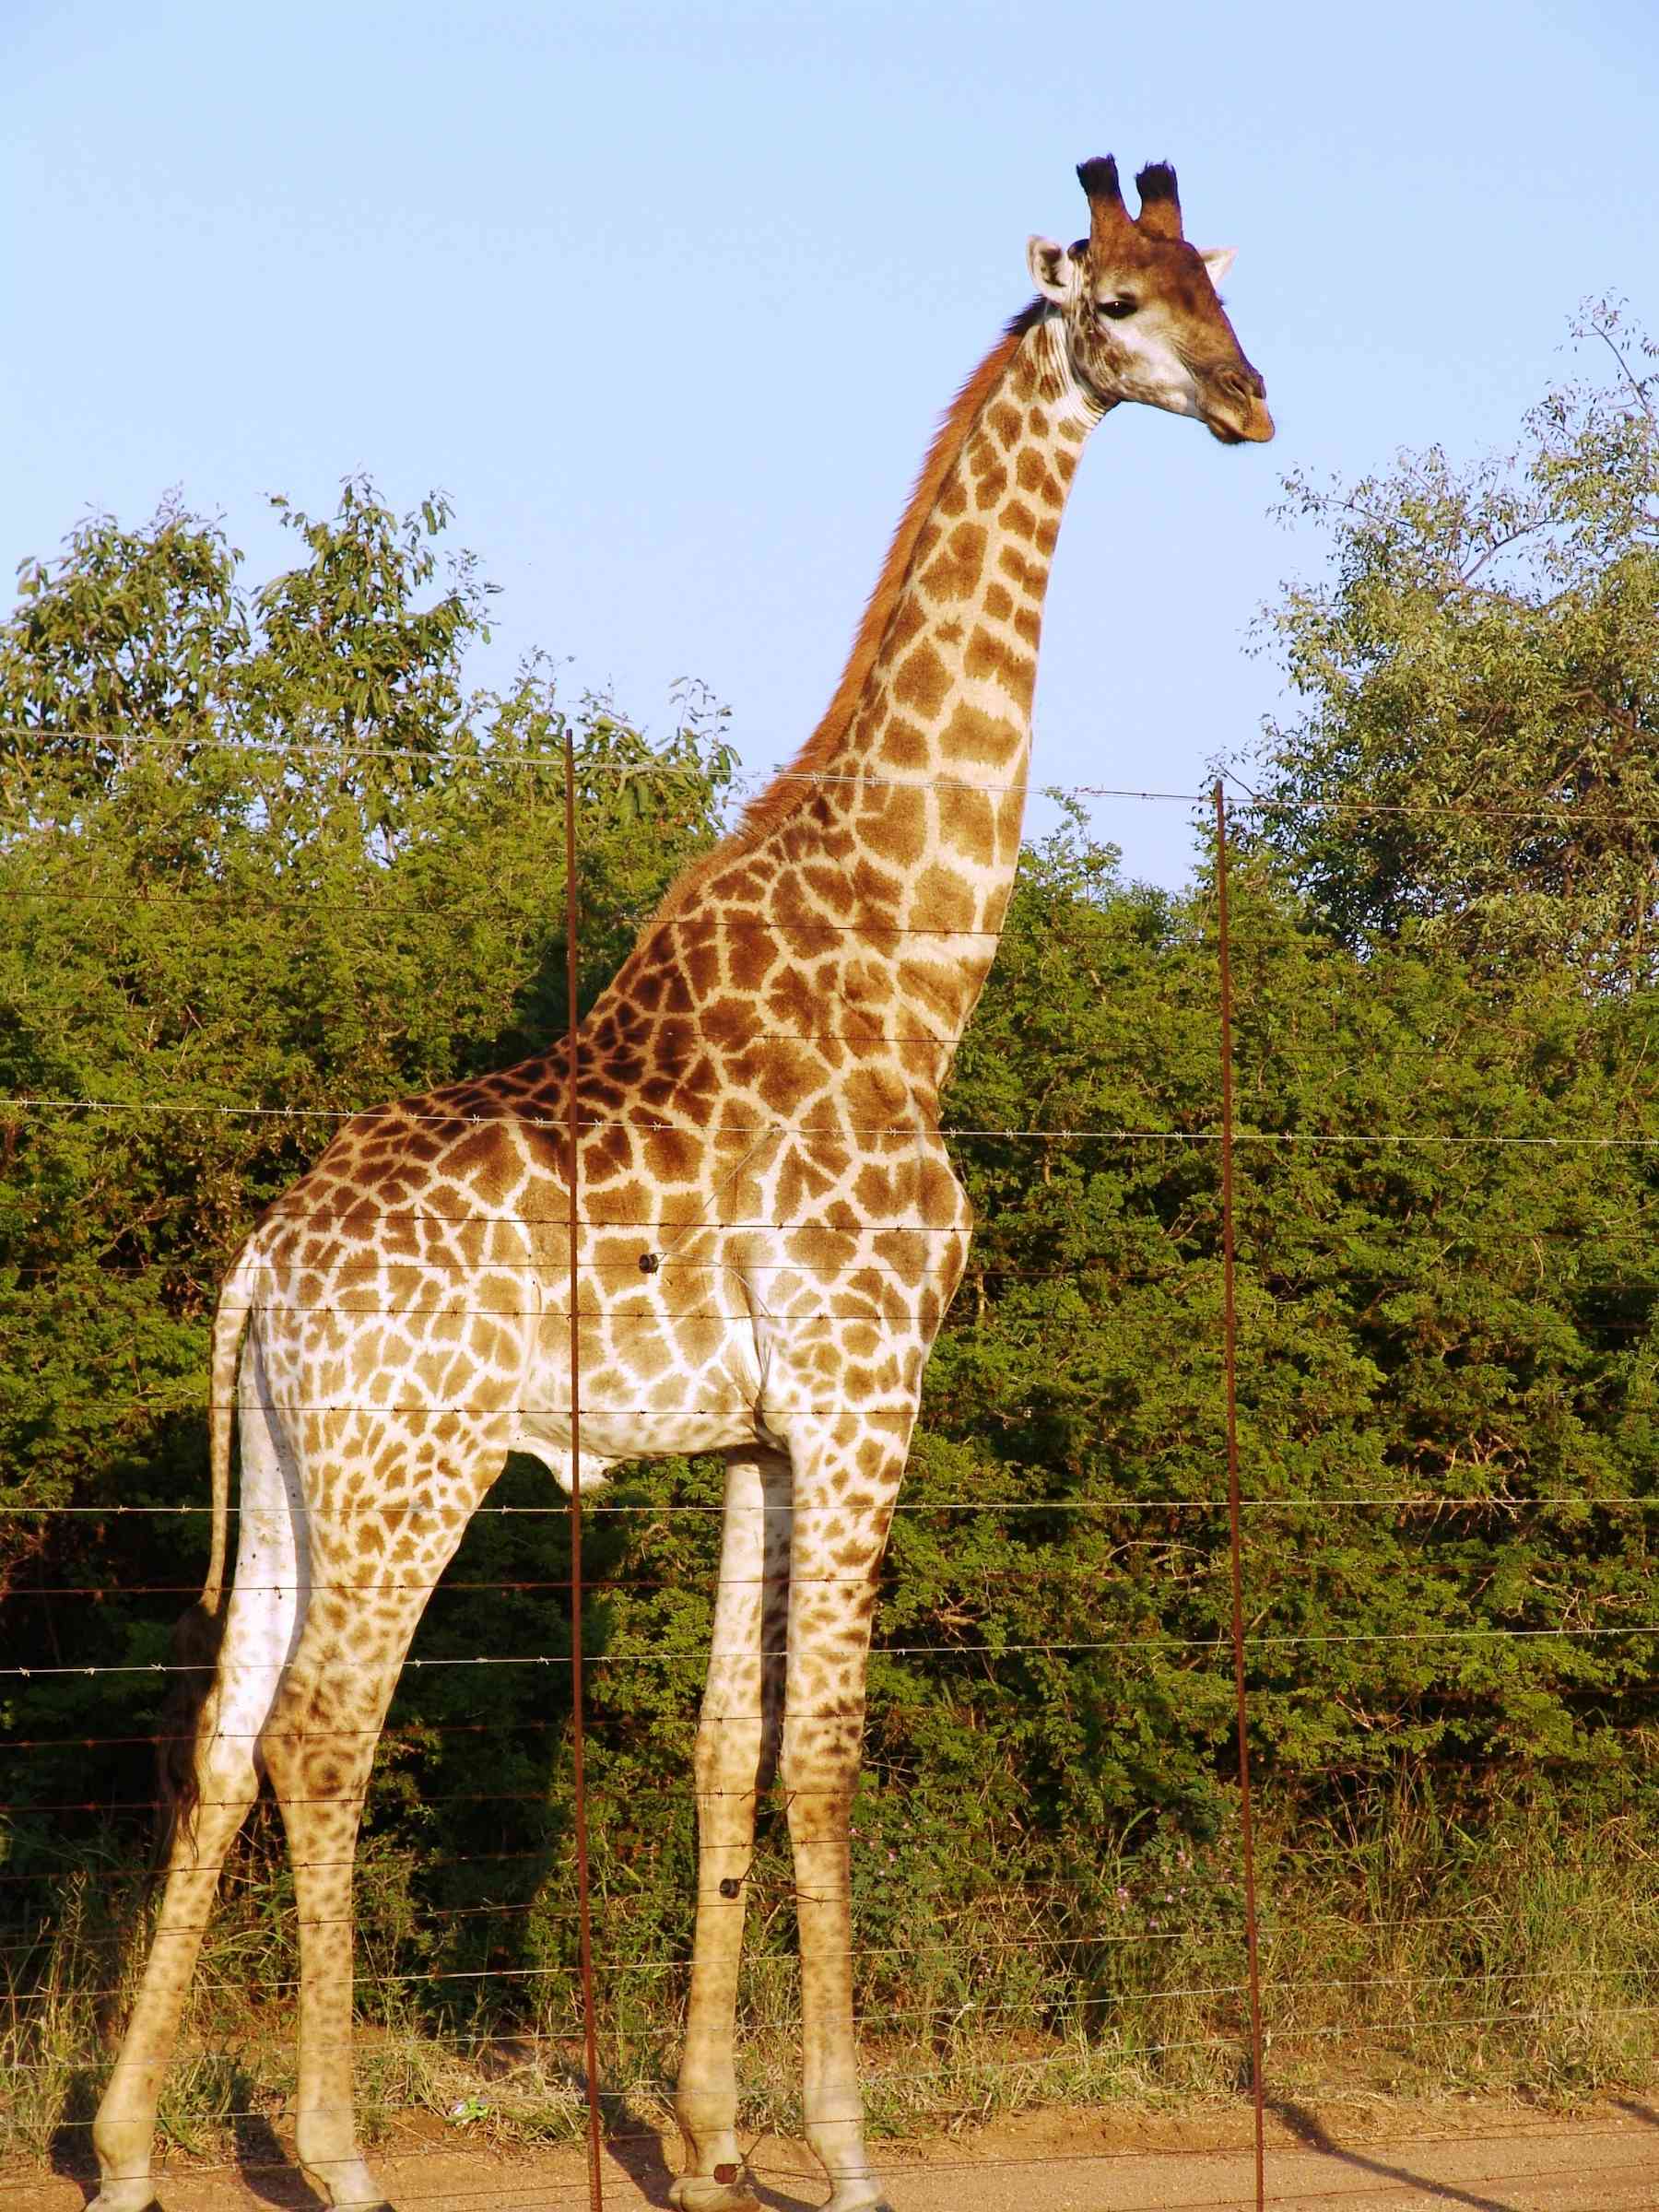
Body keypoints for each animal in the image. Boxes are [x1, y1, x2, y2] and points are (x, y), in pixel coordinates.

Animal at [90, 156, 1271, 2212]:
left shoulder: (760, 1434)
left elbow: (729, 1749)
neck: (909, 980)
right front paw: (848, 2153)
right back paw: (335, 2154)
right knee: (324, 1734)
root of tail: (259, 1268)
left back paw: (127, 2145)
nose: (1252, 401)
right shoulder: (873, 1390)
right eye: (1121, 305)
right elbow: (829, 1752)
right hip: (415, 1467)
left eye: (1218, 282)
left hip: (301, 1467)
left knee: (225, 1739)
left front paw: (715, 2143)